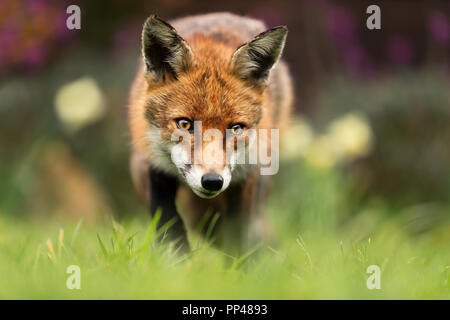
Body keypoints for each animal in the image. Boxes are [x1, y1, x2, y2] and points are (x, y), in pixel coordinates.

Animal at [128, 12, 294, 252]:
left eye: (236, 128)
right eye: (184, 124)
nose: (213, 181)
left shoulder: (246, 177)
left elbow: (239, 234)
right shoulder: (155, 168)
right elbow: (170, 226)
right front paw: (177, 260)